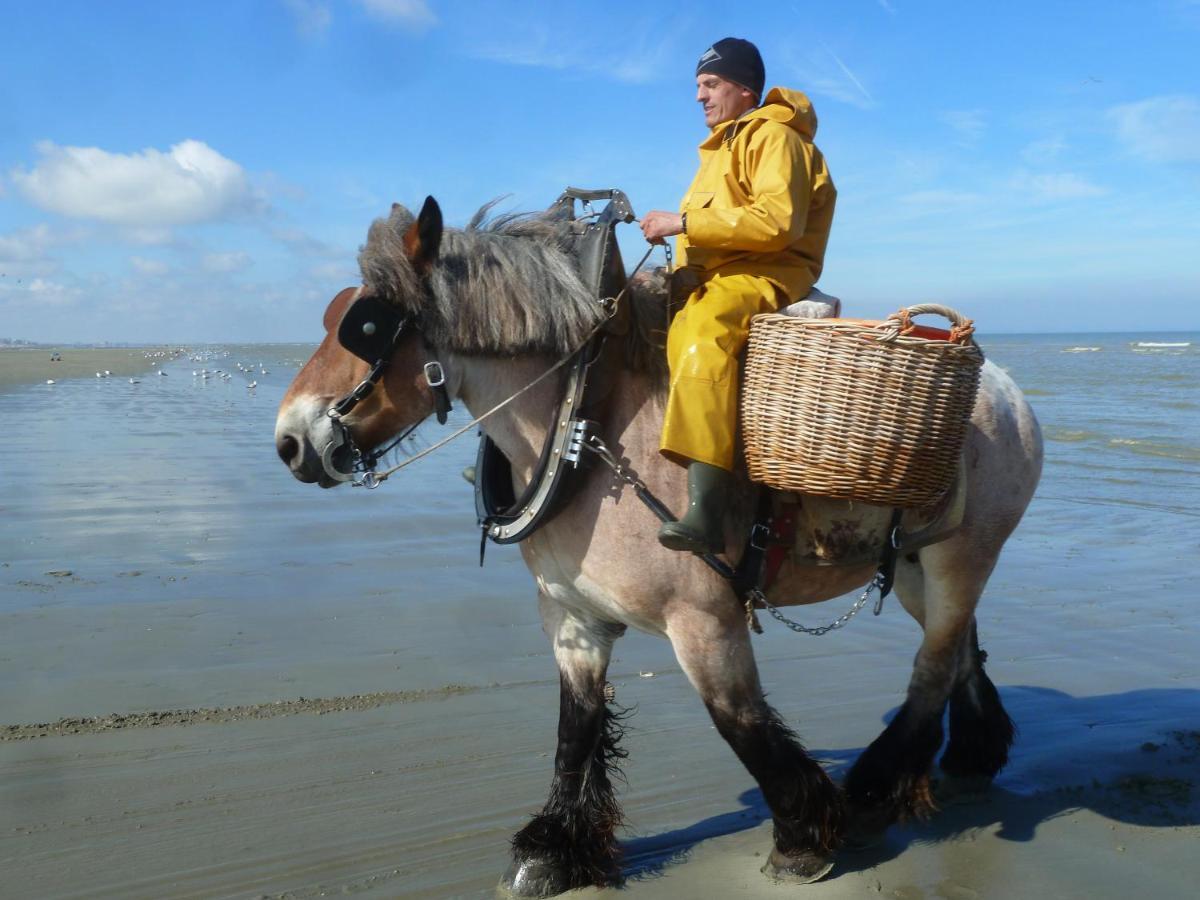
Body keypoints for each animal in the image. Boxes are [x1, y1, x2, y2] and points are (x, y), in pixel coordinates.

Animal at [272, 196, 1041, 897]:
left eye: (366, 326)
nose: (289, 441)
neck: (584, 425)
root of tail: (1005, 387)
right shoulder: (572, 619)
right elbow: (574, 730)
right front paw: (555, 849)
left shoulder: (705, 620)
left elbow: (741, 723)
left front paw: (803, 837)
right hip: (914, 564)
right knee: (958, 649)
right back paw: (970, 753)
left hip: (960, 559)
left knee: (931, 668)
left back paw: (877, 789)